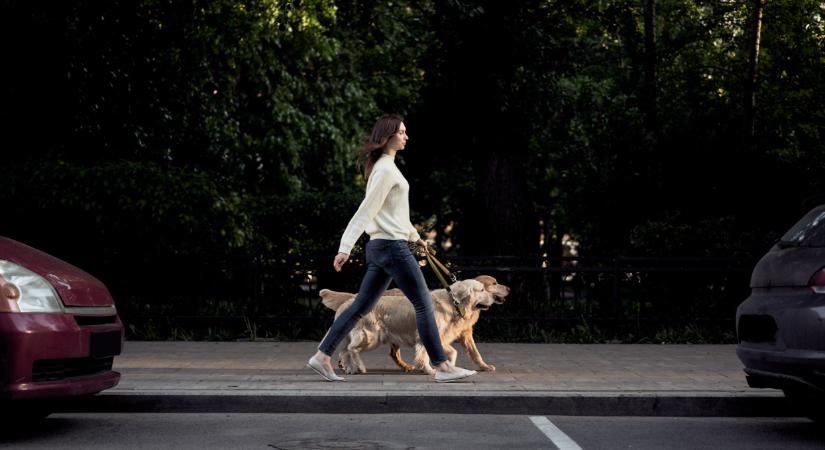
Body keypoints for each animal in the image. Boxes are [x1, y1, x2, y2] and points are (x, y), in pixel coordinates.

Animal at [318, 274, 506, 376]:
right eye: (482, 290)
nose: (492, 297)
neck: (454, 303)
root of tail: (350, 299)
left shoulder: (442, 337)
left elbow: (452, 352)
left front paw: (448, 367)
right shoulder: (428, 335)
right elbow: (426, 356)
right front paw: (430, 370)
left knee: (344, 351)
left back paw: (351, 369)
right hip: (371, 336)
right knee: (351, 349)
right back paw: (360, 367)